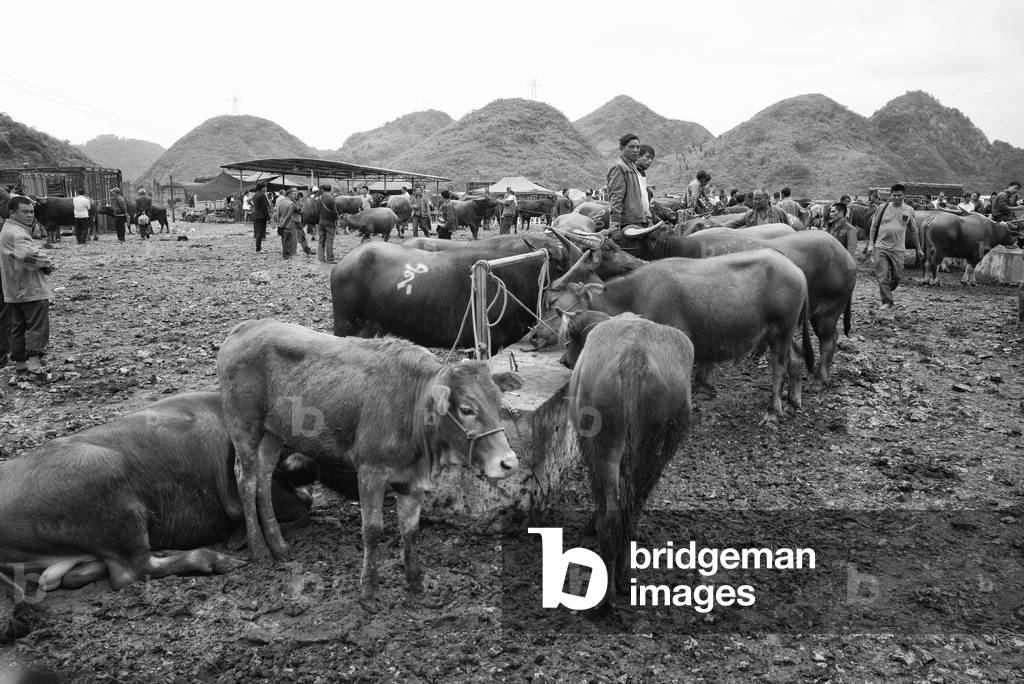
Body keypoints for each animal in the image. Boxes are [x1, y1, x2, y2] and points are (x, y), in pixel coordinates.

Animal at [216, 320, 522, 611]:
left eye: (498, 402)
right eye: (467, 409)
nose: (508, 462)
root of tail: (245, 327)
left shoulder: (412, 481)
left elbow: (410, 530)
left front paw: (416, 583)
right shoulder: (370, 471)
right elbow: (372, 531)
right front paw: (368, 593)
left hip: (274, 432)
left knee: (265, 477)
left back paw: (278, 545)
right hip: (243, 426)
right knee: (247, 480)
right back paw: (260, 549)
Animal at [535, 249, 813, 423]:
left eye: (552, 302)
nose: (535, 335)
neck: (634, 294)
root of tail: (797, 269)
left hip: (781, 330)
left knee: (780, 365)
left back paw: (773, 411)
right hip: (780, 332)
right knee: (797, 357)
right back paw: (794, 401)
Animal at [559, 311, 692, 611]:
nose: (563, 360)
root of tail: (635, 354)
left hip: (602, 444)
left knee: (611, 515)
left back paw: (605, 598)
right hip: (652, 452)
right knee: (630, 514)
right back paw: (622, 577)